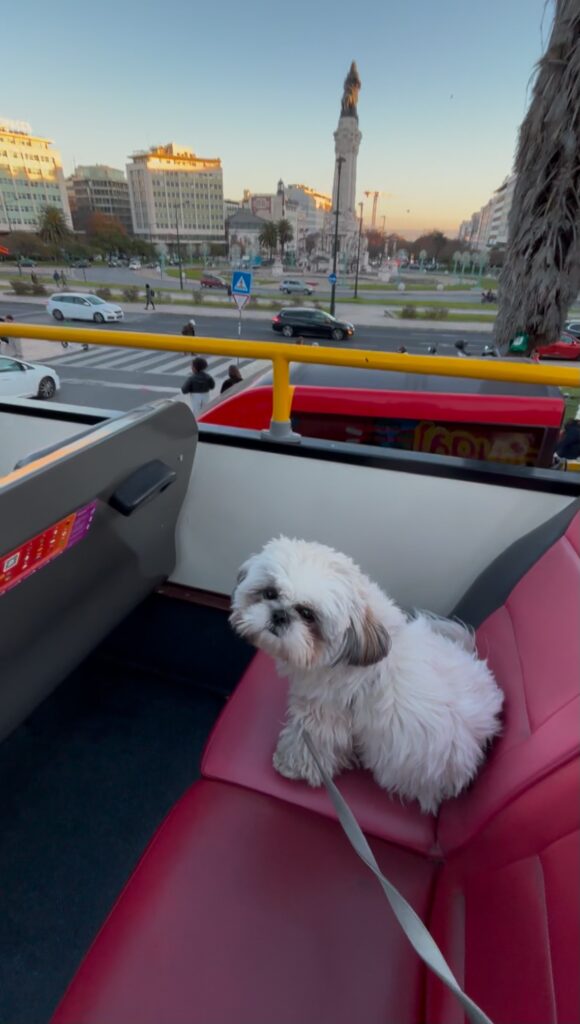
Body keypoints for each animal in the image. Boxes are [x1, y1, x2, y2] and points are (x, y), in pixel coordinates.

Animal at [231, 536, 504, 815]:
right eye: (270, 593)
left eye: (308, 615)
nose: (279, 615)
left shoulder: (324, 714)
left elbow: (309, 742)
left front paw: (290, 765)